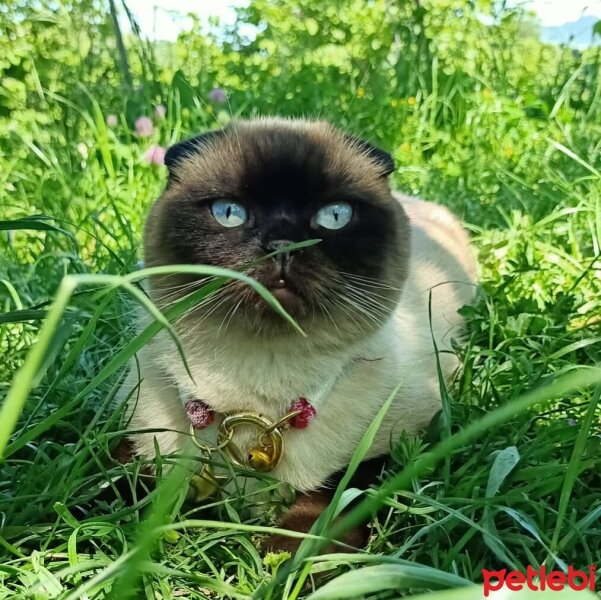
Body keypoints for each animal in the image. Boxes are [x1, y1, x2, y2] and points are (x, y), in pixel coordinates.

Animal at [120, 115, 478, 552]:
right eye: (229, 212)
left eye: (335, 215)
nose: (283, 245)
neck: (256, 381)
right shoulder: (135, 444)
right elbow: (100, 500)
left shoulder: (394, 448)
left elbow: (320, 513)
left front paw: (285, 564)